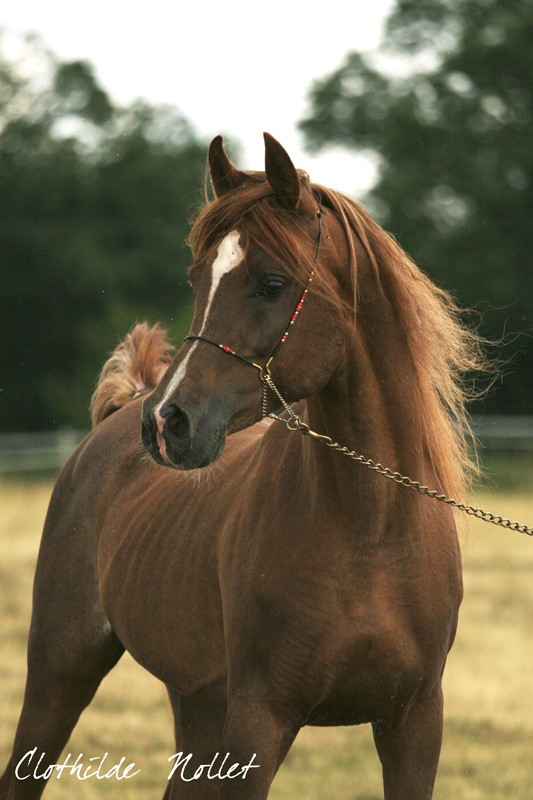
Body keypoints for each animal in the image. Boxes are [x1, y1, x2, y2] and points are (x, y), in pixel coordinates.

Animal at [1, 134, 482, 796]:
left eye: (273, 283)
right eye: (197, 279)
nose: (167, 423)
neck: (373, 533)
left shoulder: (413, 723)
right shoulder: (261, 719)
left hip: (197, 704)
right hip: (59, 674)